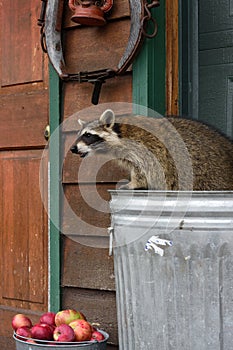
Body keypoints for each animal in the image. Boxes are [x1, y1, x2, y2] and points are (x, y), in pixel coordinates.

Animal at [70, 110, 233, 190]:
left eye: (88, 135)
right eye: (79, 135)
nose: (72, 148)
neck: (120, 133)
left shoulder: (146, 150)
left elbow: (142, 171)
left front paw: (134, 183)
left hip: (205, 175)